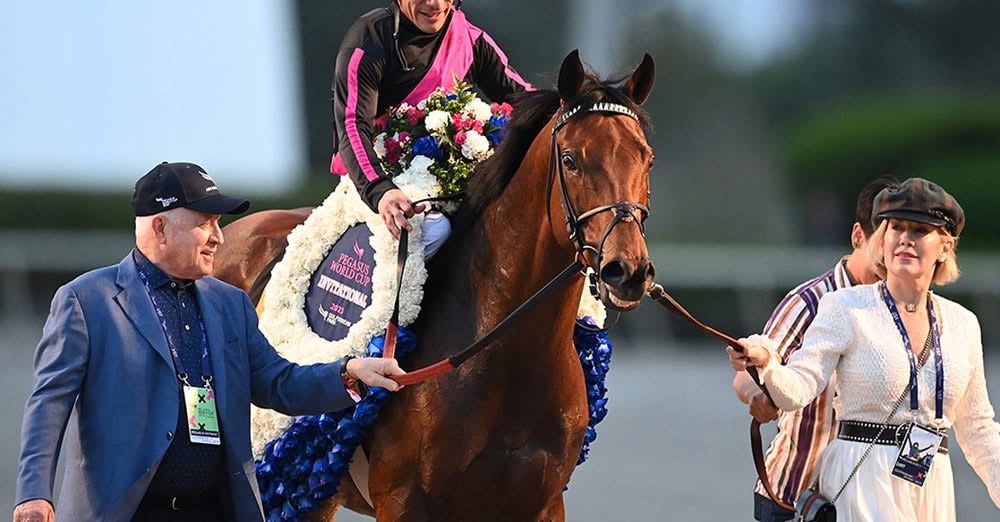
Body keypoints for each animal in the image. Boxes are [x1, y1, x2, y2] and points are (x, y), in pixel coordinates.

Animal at [213, 49, 656, 521]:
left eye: (647, 158)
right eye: (571, 159)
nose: (626, 271)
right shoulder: (403, 501)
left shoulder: (542, 503)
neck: (503, 358)